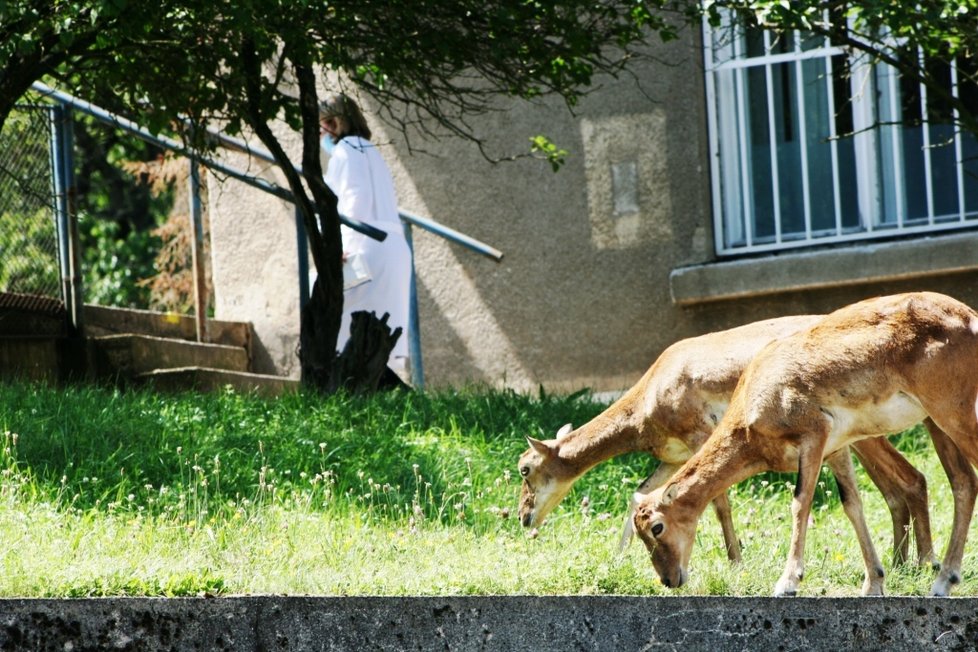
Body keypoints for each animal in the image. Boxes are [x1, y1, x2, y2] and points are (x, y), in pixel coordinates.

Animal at [520, 314, 936, 564]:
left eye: (524, 468)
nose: (524, 517)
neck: (651, 392)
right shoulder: (672, 457)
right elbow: (638, 494)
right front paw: (618, 558)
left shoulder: (701, 439)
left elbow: (719, 502)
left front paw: (735, 559)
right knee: (897, 486)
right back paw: (902, 565)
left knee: (911, 479)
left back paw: (920, 564)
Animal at [628, 292, 976, 600]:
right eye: (639, 531)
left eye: (657, 527)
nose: (669, 579)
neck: (752, 403)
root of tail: (970, 318)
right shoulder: (837, 447)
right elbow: (852, 504)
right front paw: (873, 583)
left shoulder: (814, 434)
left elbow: (800, 503)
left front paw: (787, 583)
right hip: (939, 423)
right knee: (963, 481)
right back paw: (942, 580)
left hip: (951, 411)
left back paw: (942, 579)